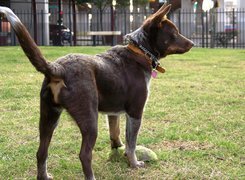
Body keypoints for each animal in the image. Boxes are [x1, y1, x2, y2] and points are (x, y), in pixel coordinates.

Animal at [0, 3, 194, 179]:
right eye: (174, 33)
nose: (192, 43)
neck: (140, 51)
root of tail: (57, 68)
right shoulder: (135, 112)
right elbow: (131, 143)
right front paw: (134, 163)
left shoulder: (113, 113)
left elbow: (116, 135)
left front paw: (118, 150)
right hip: (89, 120)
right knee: (84, 155)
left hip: (49, 117)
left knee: (41, 152)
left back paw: (44, 176)